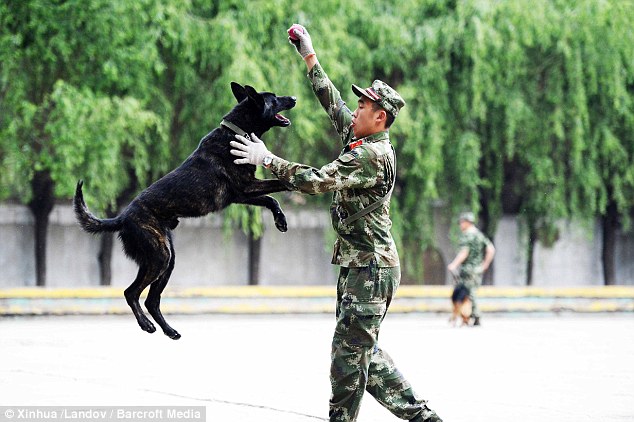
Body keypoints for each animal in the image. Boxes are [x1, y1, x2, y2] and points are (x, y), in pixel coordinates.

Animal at [73, 81, 296, 340]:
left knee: (151, 300)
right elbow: (278, 186)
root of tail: (123, 216)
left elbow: (271, 199)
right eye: (274, 98)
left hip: (166, 261)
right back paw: (146, 325)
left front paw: (281, 219)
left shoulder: (242, 195)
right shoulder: (246, 187)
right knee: (132, 293)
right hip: (160, 257)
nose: (294, 98)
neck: (236, 132)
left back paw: (169, 330)